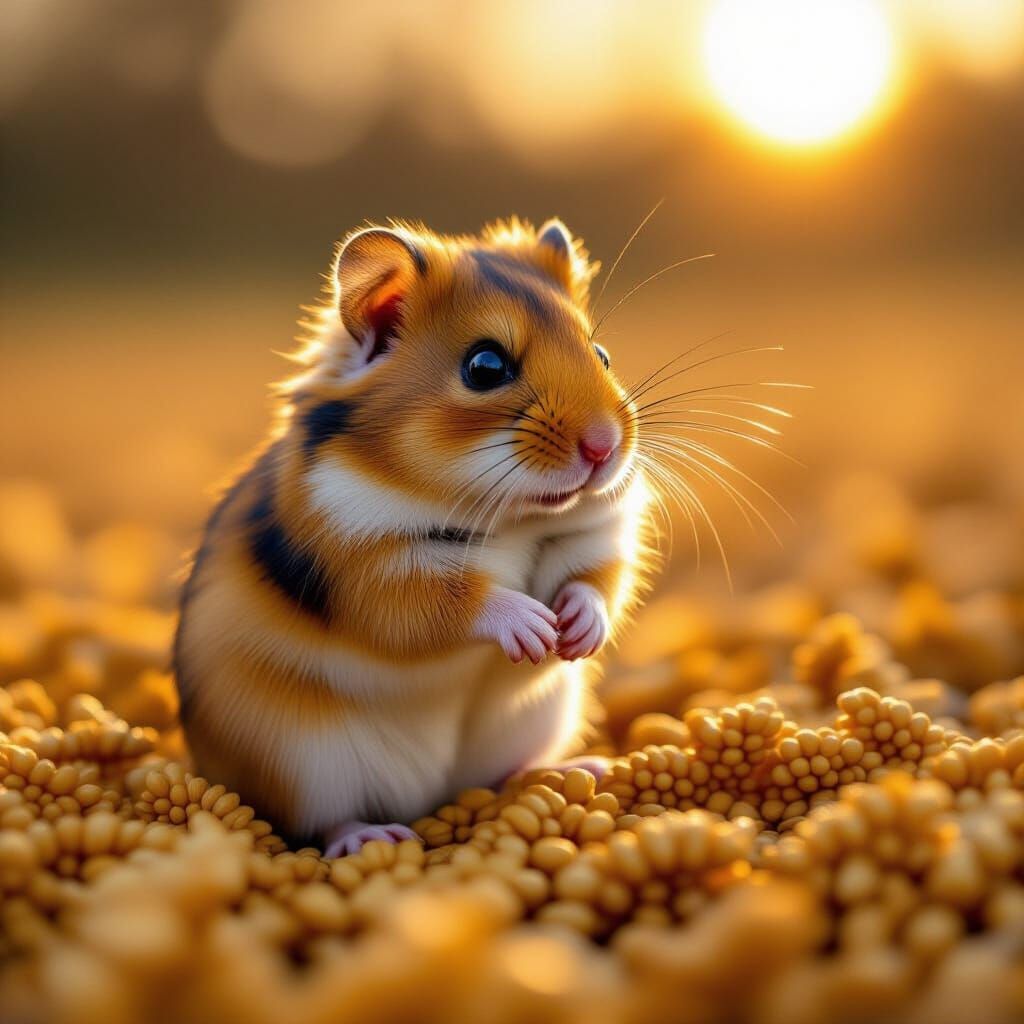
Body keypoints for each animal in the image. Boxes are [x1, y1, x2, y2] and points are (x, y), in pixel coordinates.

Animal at [173, 218, 653, 856]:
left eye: (601, 354)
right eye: (485, 366)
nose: (605, 448)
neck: (512, 516)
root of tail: (428, 796)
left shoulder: (598, 533)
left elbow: (596, 580)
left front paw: (574, 636)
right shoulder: (366, 570)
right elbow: (449, 601)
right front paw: (534, 631)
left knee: (499, 774)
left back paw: (580, 769)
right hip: (304, 763)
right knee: (324, 821)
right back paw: (374, 836)